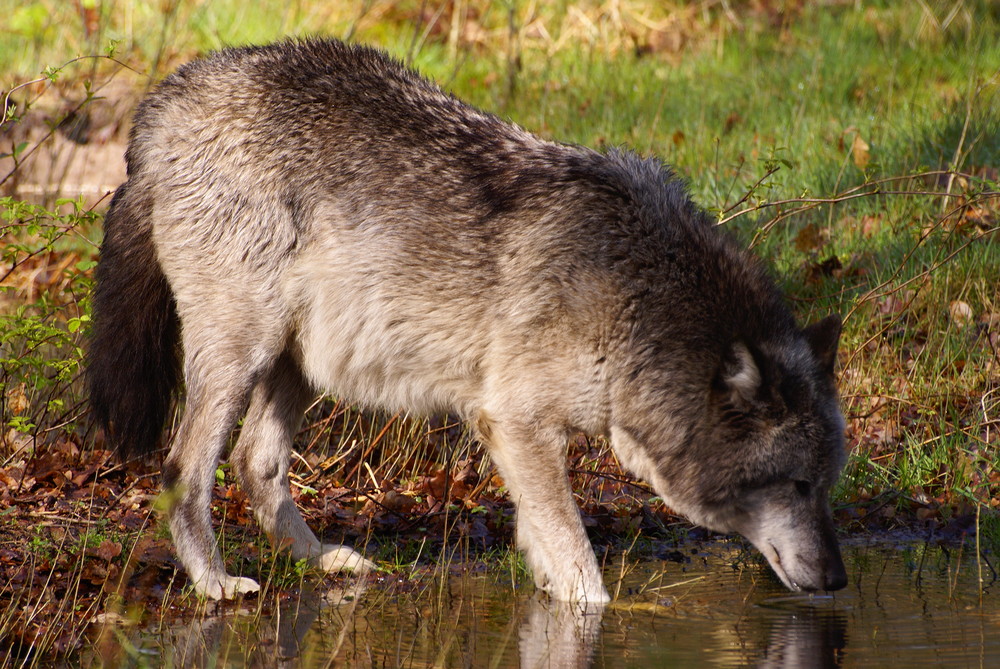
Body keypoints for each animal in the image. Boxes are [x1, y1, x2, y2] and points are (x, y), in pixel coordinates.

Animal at [88, 37, 852, 600]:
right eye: (798, 485)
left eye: (827, 484)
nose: (840, 580)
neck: (637, 297)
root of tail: (167, 98)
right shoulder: (515, 421)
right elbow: (583, 573)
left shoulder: (523, 438)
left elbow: (550, 548)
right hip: (242, 355)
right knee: (183, 470)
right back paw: (215, 583)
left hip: (304, 359)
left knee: (257, 462)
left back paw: (325, 560)